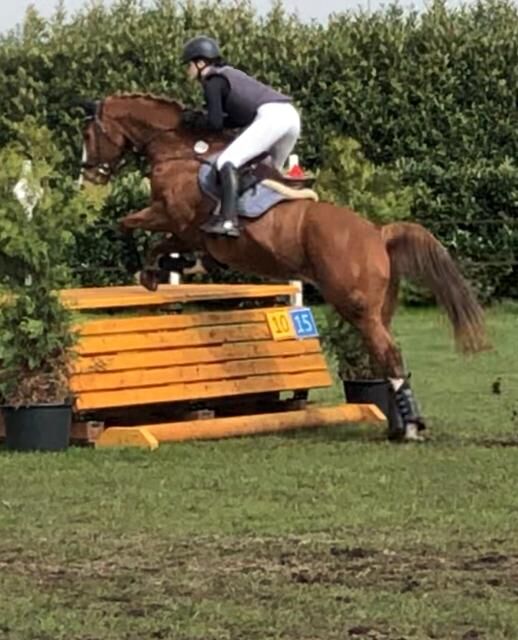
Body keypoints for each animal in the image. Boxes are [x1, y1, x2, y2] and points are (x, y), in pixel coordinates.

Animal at [78, 94, 492, 440]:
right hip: (378, 308)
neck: (178, 152)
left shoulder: (175, 220)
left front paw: (152, 273)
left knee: (388, 353)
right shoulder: (182, 229)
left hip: (354, 304)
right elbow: (156, 240)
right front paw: (181, 268)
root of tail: (377, 232)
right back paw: (397, 425)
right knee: (383, 352)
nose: (89, 175)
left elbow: (132, 227)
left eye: (89, 134)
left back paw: (409, 428)